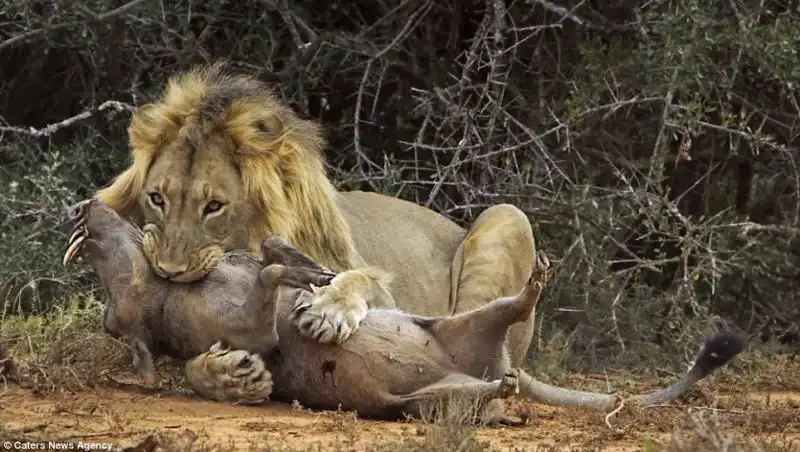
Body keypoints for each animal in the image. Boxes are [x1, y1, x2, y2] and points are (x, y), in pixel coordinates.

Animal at [64, 200, 752, 422]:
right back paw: (502, 392)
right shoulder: (245, 325)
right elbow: (212, 352)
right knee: (487, 389)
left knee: (506, 309)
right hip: (437, 395)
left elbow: (294, 260)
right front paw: (234, 377)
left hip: (496, 237)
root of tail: (493, 361)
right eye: (109, 318)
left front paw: (322, 294)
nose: (81, 209)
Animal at [94, 63, 540, 368]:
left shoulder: (380, 290)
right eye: (157, 198)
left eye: (214, 207)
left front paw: (328, 310)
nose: (168, 272)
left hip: (508, 215)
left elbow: (360, 278)